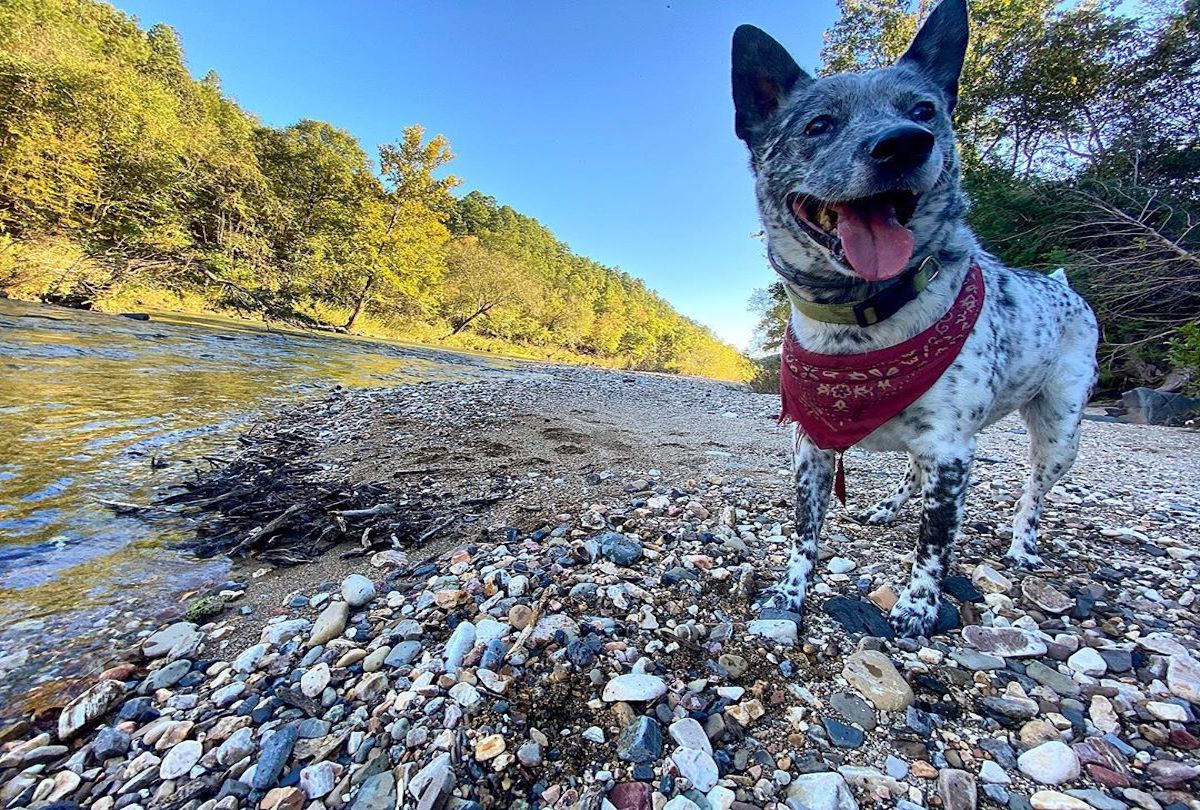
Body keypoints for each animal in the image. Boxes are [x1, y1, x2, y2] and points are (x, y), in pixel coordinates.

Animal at [729, 0, 1099, 638]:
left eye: (924, 111)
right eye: (818, 125)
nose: (904, 143)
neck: (860, 312)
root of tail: (1059, 284)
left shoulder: (951, 451)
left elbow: (934, 543)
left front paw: (919, 605)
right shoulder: (813, 446)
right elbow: (805, 532)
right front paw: (790, 592)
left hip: (1060, 431)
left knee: (1032, 491)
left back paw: (1022, 544)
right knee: (915, 475)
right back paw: (888, 506)